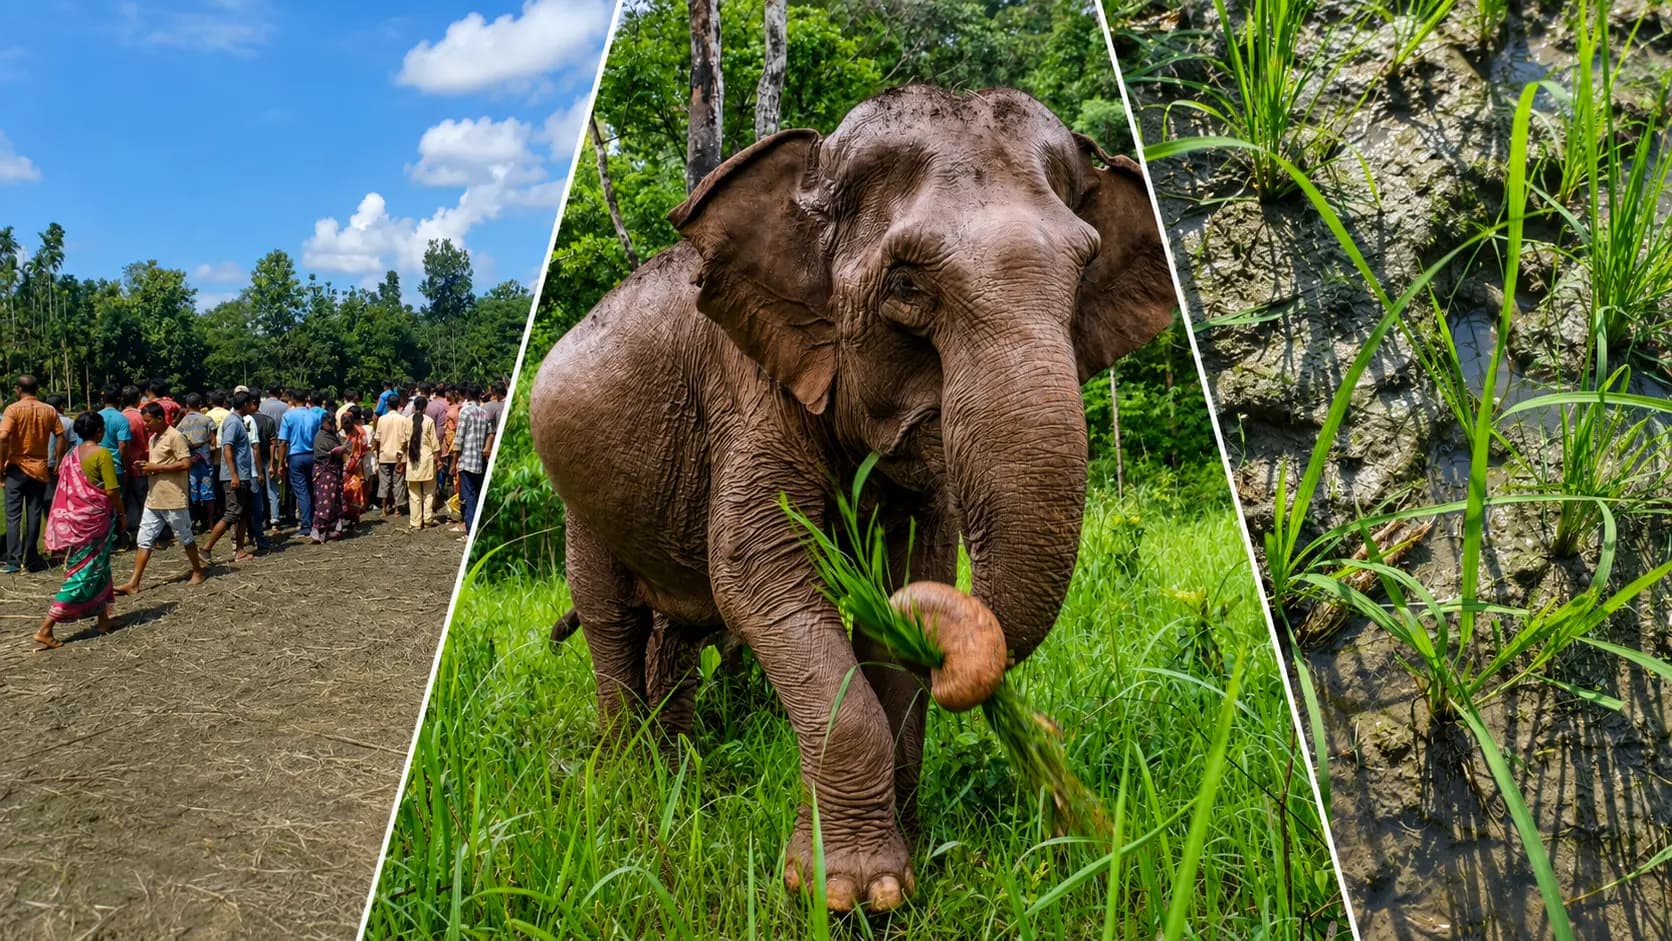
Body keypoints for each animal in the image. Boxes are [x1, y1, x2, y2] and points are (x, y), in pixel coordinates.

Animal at [529, 84, 1175, 913]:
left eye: (1084, 270)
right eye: (905, 284)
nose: (1051, 741)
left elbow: (905, 581)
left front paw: (907, 864)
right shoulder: (749, 389)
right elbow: (759, 574)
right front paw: (846, 892)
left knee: (672, 629)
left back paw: (682, 771)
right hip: (578, 492)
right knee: (613, 616)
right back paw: (631, 782)